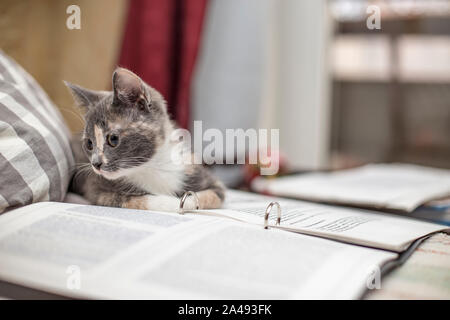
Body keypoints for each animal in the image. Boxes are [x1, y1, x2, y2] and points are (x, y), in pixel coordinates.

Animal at [64, 68, 223, 212]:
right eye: (89, 144)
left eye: (113, 139)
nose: (95, 164)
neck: (152, 166)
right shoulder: (97, 190)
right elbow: (135, 200)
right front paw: (171, 202)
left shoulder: (206, 177)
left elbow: (209, 196)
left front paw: (186, 200)